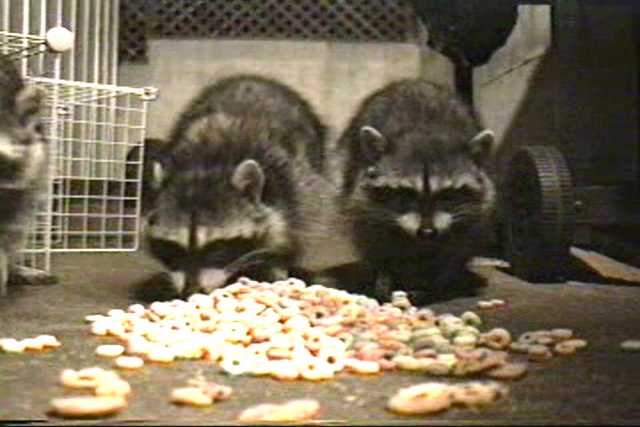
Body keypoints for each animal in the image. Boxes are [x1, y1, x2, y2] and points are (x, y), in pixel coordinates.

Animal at [143, 75, 330, 297]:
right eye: (173, 248)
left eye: (217, 248)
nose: (192, 291)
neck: (207, 164)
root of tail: (252, 79)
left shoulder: (291, 185)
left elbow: (291, 229)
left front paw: (277, 263)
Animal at [338, 78, 497, 302]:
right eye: (406, 194)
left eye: (447, 195)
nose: (427, 232)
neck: (425, 131)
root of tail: (412, 82)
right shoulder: (362, 201)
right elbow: (373, 239)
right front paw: (384, 274)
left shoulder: (475, 211)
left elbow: (456, 248)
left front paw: (437, 283)